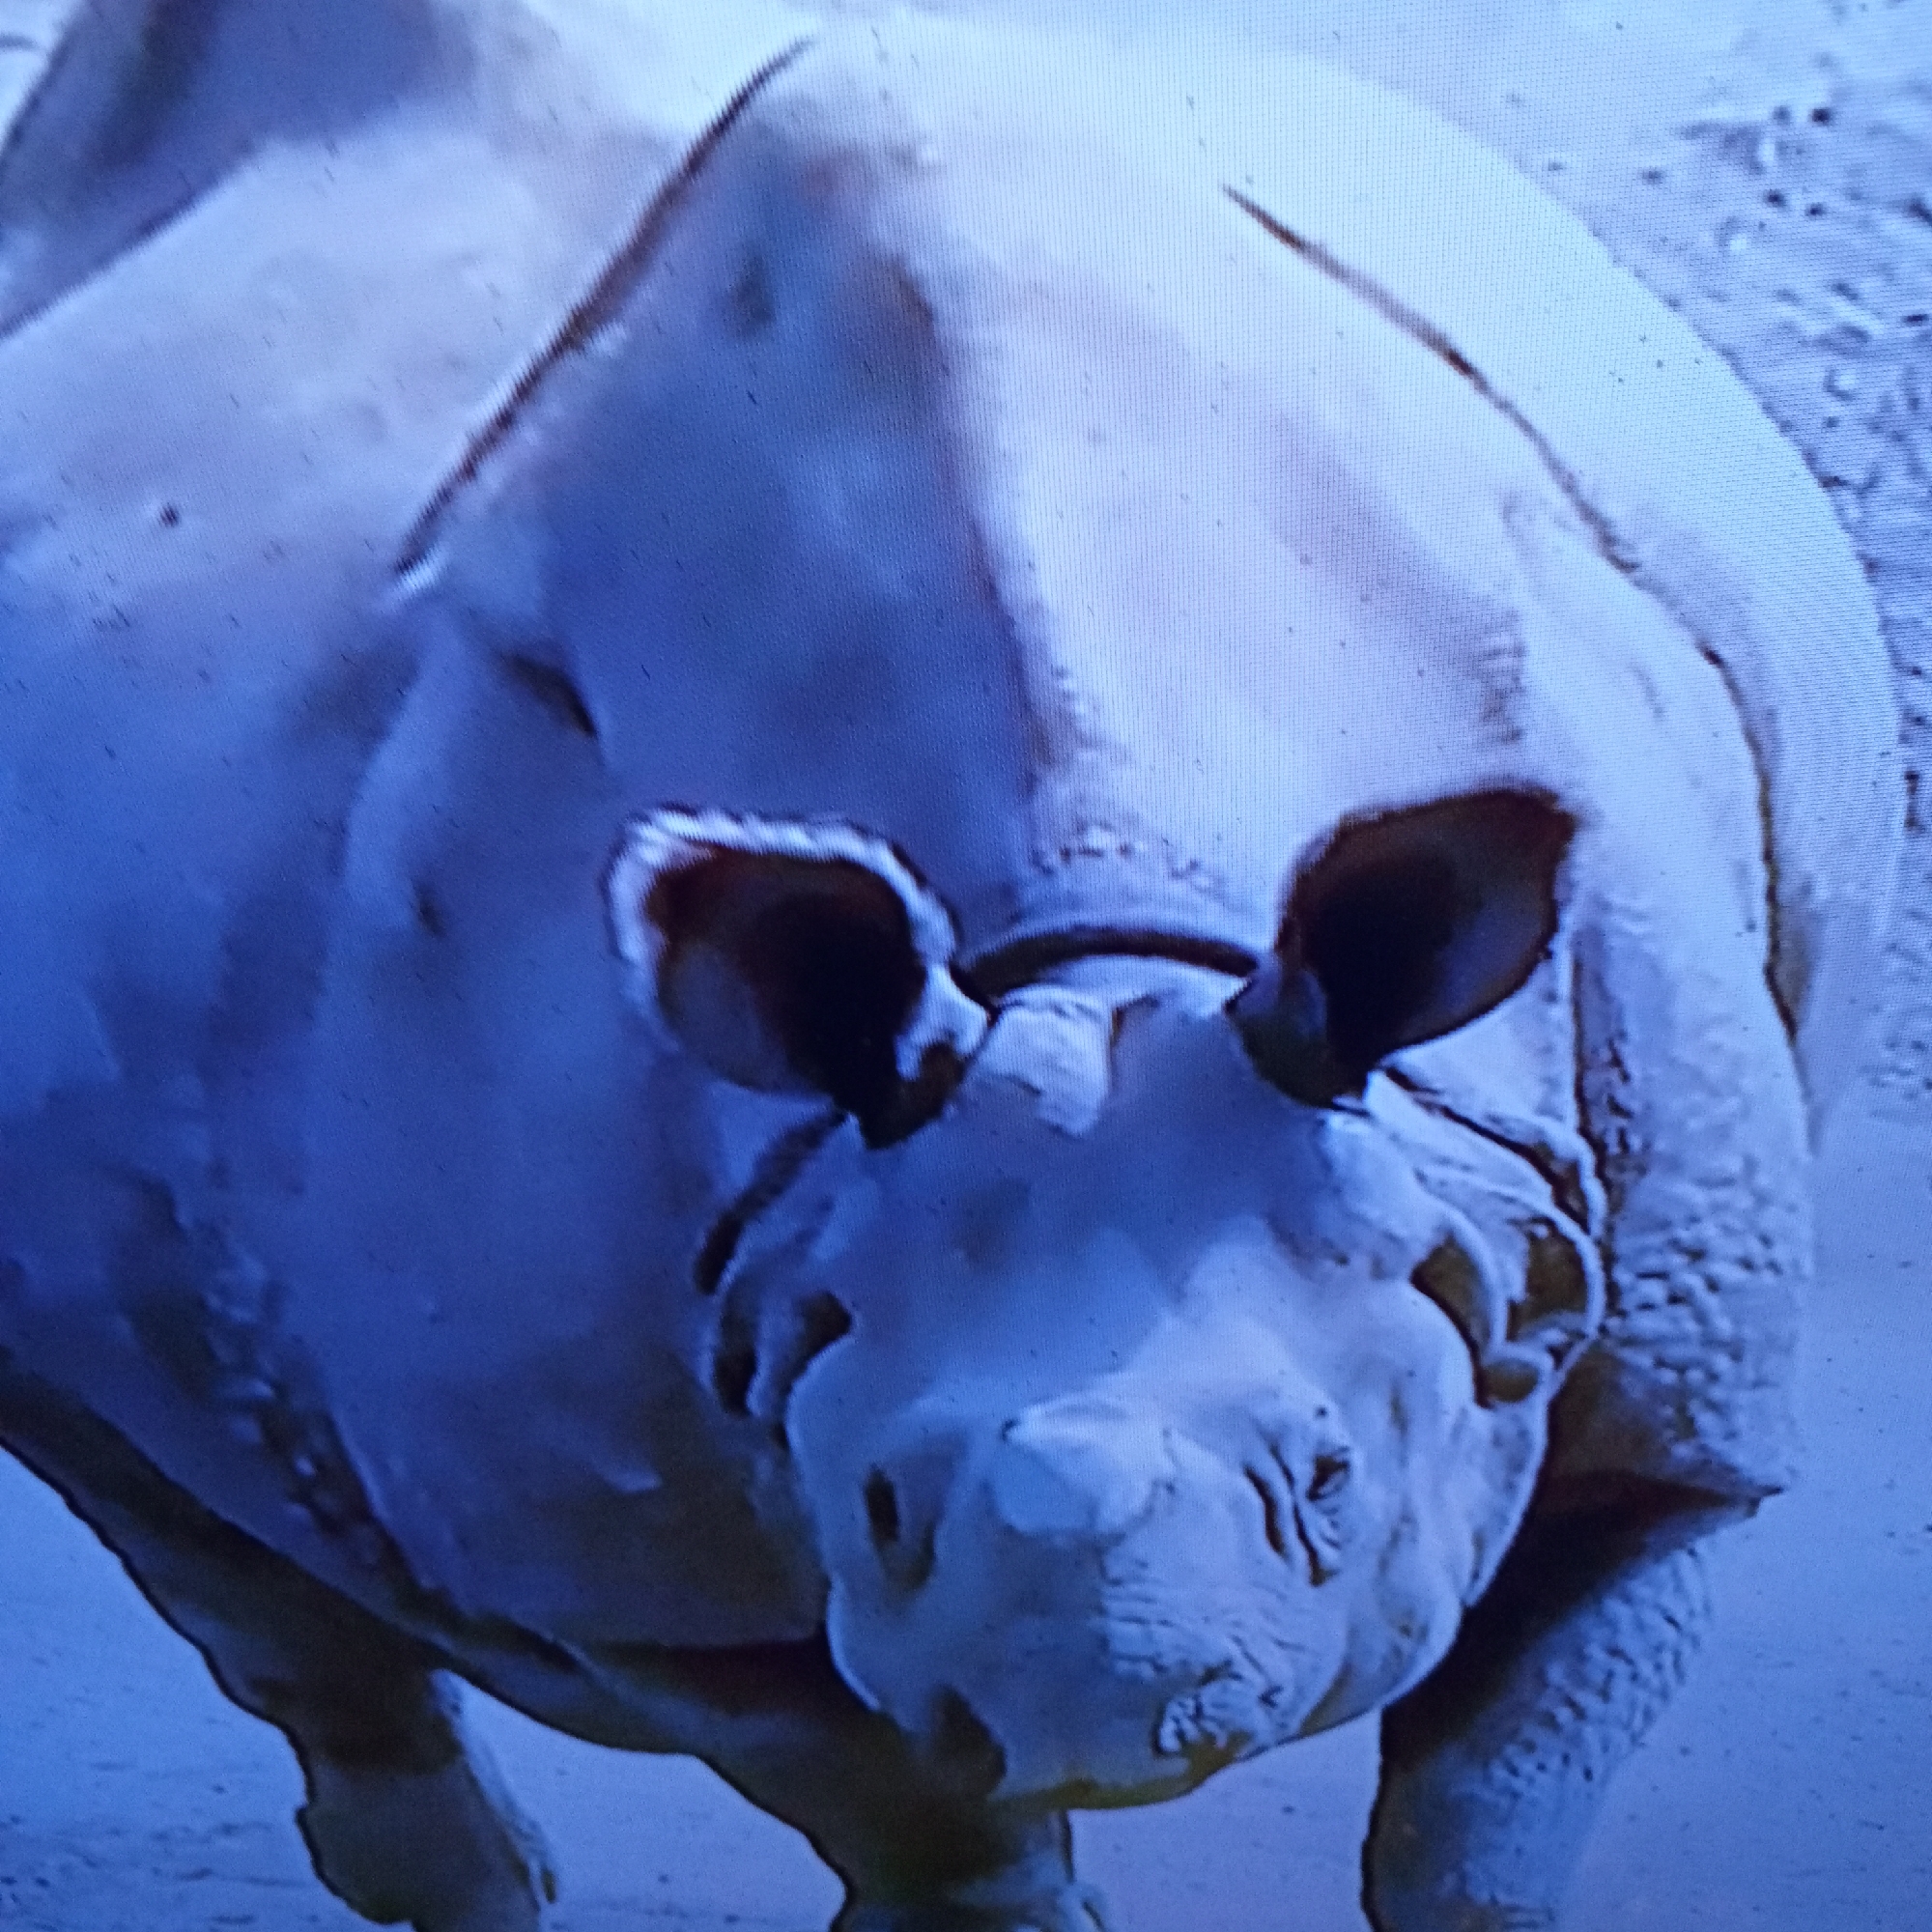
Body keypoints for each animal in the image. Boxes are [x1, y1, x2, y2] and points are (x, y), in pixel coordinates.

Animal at [0, 3, 1901, 1928]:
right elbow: (917, 1821)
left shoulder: (1665, 1389)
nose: (1116, 1719)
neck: (1104, 942)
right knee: (169, 1506)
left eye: (1328, 1477)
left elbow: (1490, 1821)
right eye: (886, 1511)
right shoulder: (666, 1596)